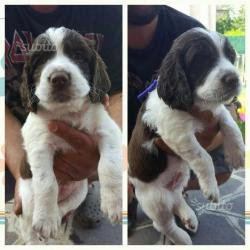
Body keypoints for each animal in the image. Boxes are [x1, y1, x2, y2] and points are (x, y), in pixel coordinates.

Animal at [14, 27, 122, 244]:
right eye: (40, 61)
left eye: (78, 56)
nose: (59, 78)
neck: (67, 112)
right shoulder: (39, 145)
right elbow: (47, 182)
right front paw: (45, 219)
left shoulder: (108, 131)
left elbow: (109, 165)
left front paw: (113, 203)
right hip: (27, 198)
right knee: (29, 226)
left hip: (79, 190)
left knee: (64, 209)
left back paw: (55, 218)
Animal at [129, 27, 244, 244]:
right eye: (201, 59)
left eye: (230, 56)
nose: (234, 79)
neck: (196, 102)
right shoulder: (176, 132)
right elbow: (203, 157)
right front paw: (211, 189)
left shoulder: (215, 111)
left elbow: (230, 124)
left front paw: (237, 154)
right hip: (156, 200)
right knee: (163, 224)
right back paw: (183, 239)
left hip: (180, 179)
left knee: (178, 197)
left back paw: (189, 218)